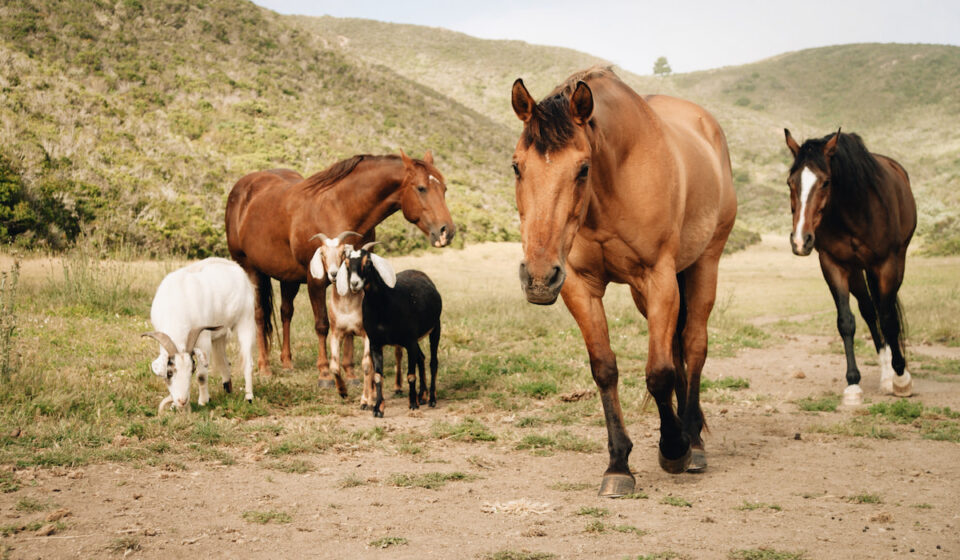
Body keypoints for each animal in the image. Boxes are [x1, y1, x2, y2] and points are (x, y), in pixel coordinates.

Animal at [142, 257, 256, 413]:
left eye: (192, 370)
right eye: (170, 373)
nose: (182, 401)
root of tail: (235, 266)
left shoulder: (204, 338)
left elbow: (202, 376)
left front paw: (203, 401)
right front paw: (173, 405)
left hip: (246, 319)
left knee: (247, 362)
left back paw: (249, 397)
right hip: (219, 335)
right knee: (224, 362)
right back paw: (228, 390)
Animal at [308, 231, 371, 400]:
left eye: (342, 252)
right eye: (323, 253)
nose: (334, 274)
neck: (347, 306)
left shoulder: (366, 334)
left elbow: (366, 364)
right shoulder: (336, 333)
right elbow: (334, 366)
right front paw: (342, 390)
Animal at [340, 245, 442, 417]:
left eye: (368, 263)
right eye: (347, 264)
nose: (354, 283)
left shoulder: (409, 341)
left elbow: (410, 375)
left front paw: (412, 404)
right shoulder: (375, 343)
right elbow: (378, 376)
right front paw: (378, 408)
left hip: (436, 327)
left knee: (433, 361)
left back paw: (432, 399)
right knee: (421, 357)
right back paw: (423, 395)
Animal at [510, 67, 737, 497]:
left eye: (583, 168)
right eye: (516, 166)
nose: (538, 277)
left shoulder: (659, 278)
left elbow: (659, 373)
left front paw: (674, 449)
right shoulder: (579, 286)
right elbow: (605, 368)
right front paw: (618, 465)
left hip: (705, 265)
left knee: (694, 346)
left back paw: (694, 445)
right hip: (642, 293)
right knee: (678, 350)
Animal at [784, 129, 916, 406]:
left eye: (825, 182)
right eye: (790, 182)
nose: (801, 240)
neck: (856, 212)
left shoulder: (887, 264)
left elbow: (889, 320)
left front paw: (902, 379)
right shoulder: (833, 265)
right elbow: (846, 321)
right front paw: (853, 384)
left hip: (890, 265)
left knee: (884, 311)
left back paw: (894, 374)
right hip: (857, 271)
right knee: (869, 311)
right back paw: (885, 374)